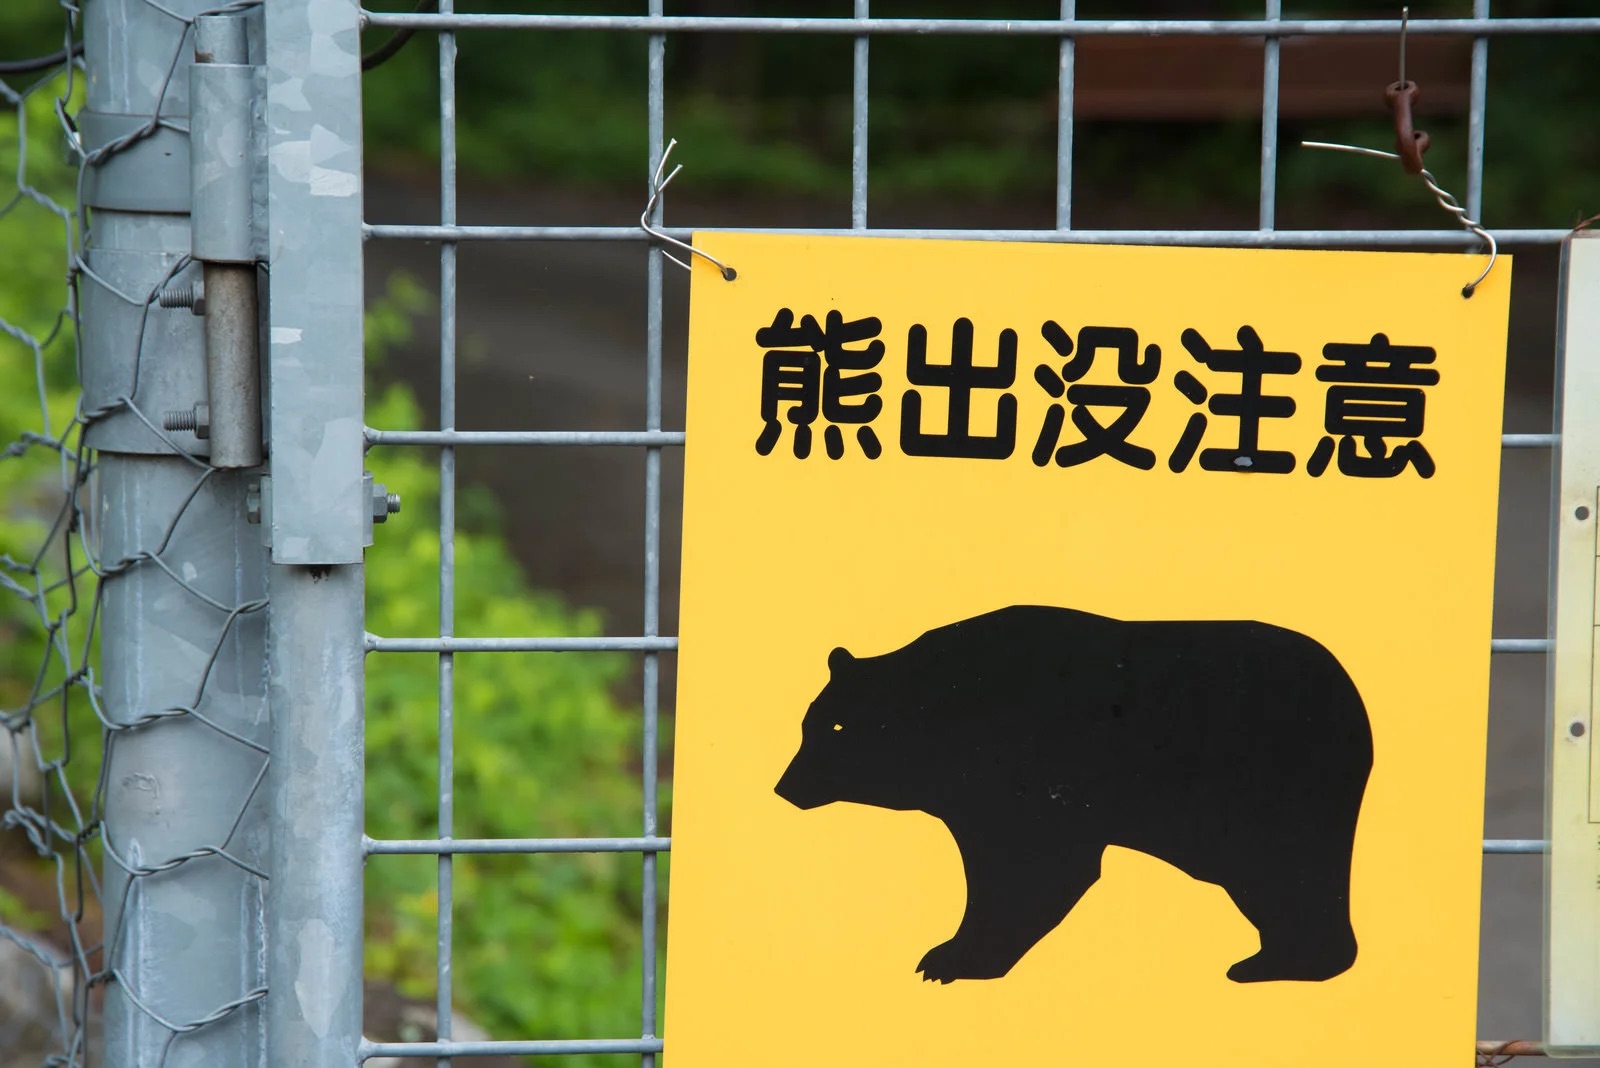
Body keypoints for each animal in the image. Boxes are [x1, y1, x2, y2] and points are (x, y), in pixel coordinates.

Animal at [774, 604, 1372, 985]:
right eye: (808, 724)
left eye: (835, 728)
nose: (784, 786)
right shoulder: (971, 797)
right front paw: (949, 953)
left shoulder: (1028, 774)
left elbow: (1036, 868)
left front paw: (952, 959)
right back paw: (1271, 959)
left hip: (1276, 788)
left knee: (1288, 874)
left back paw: (1284, 963)